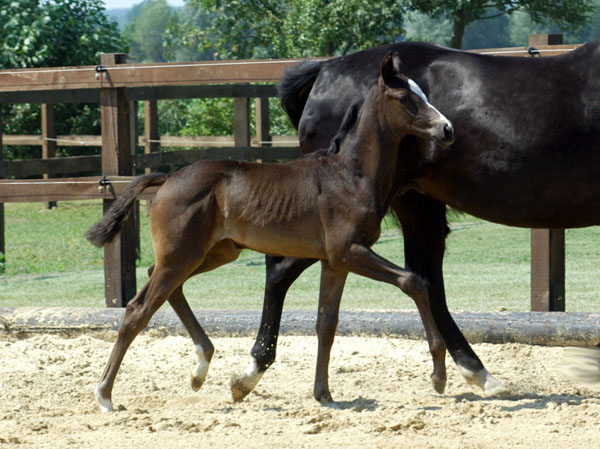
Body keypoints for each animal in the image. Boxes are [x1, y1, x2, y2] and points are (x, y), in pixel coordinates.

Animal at [85, 51, 454, 410]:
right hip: (183, 256)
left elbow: (326, 322)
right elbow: (414, 281)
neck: (350, 173)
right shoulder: (349, 251)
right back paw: (105, 395)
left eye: (423, 94)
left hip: (212, 253)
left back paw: (200, 368)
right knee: (138, 309)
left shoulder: (335, 262)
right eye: (405, 98)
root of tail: (168, 179)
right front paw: (438, 375)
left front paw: (324, 394)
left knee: (160, 281)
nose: (447, 129)